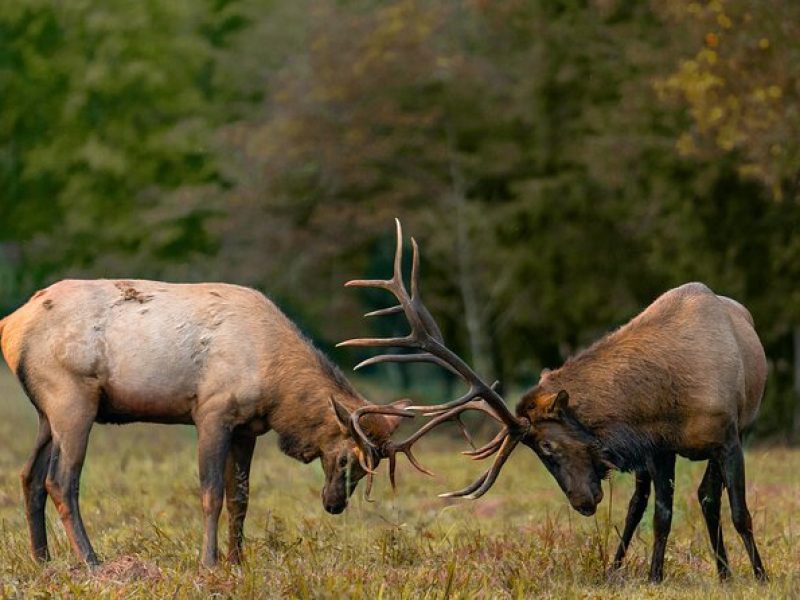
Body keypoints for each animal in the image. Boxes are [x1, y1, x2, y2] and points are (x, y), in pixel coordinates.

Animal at [0, 280, 412, 568]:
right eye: (345, 458)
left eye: (371, 467)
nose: (334, 504)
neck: (275, 387)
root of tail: (10, 325)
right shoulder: (213, 412)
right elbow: (211, 494)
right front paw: (209, 562)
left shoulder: (247, 428)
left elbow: (240, 497)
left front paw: (237, 561)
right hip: (72, 399)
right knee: (60, 480)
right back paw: (91, 560)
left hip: (47, 412)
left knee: (29, 475)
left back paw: (43, 559)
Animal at [340, 219, 764, 580]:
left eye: (547, 445)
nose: (582, 502)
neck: (674, 394)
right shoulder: (659, 448)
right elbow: (661, 515)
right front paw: (655, 577)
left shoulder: (728, 437)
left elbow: (739, 511)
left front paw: (759, 575)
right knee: (641, 504)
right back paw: (624, 568)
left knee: (708, 498)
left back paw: (726, 573)